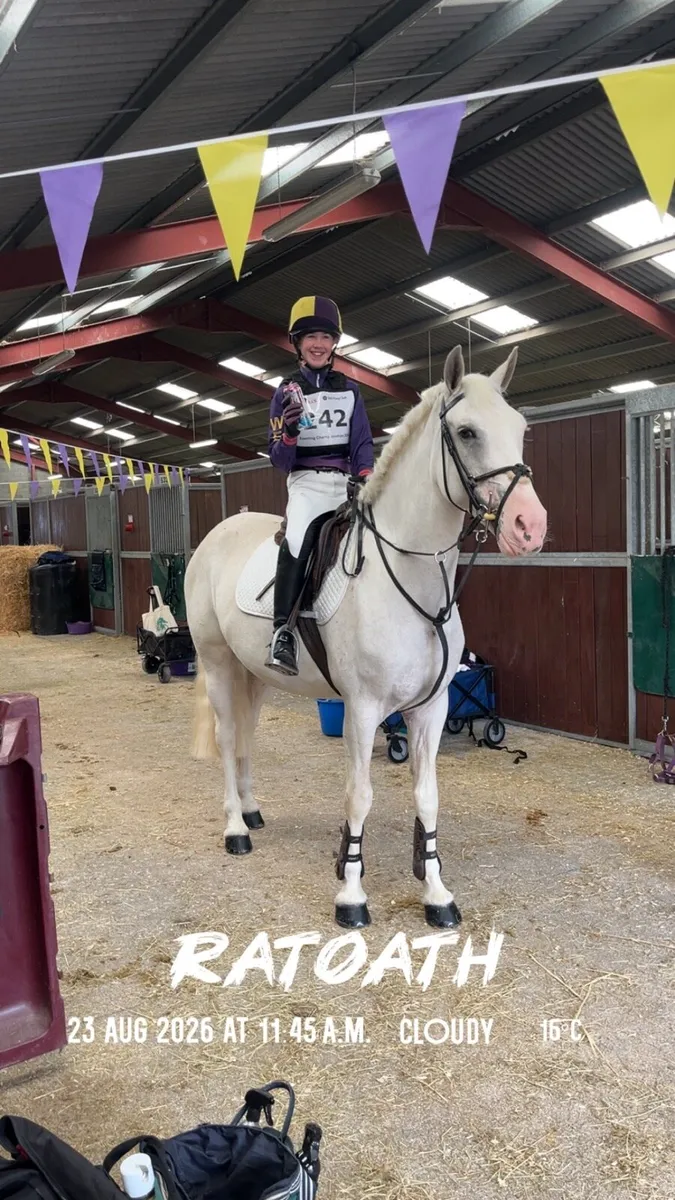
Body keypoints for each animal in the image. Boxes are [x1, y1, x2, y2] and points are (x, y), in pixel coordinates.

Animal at [185, 345, 547, 929]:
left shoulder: (431, 708)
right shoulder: (363, 709)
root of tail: (218, 533)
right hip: (218, 664)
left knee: (246, 736)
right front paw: (351, 895)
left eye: (520, 428)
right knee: (225, 736)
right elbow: (359, 796)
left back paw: (252, 811)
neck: (410, 577)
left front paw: (437, 895)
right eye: (467, 432)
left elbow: (427, 795)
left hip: (254, 674)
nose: (528, 527)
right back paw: (236, 829)